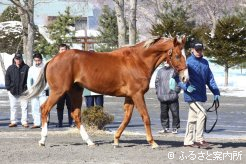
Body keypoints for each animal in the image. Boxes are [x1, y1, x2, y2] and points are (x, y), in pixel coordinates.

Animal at [23, 35, 188, 149]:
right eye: (177, 55)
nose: (185, 77)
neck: (138, 60)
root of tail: (52, 60)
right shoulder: (137, 94)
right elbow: (145, 117)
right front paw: (152, 143)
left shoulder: (130, 96)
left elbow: (127, 118)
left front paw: (116, 140)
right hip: (58, 91)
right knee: (45, 109)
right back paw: (43, 140)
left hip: (75, 91)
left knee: (75, 114)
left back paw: (89, 141)